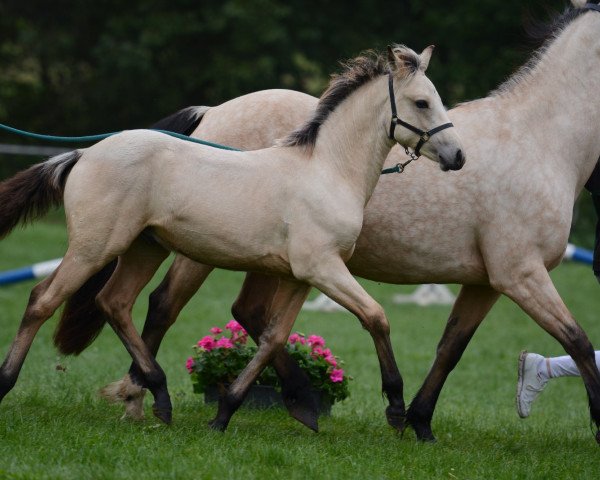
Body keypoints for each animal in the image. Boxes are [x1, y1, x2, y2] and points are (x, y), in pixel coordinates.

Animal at [0, 46, 464, 432]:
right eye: (422, 102)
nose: (457, 156)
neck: (326, 170)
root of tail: (83, 154)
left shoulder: (300, 276)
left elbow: (273, 337)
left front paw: (229, 413)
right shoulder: (324, 269)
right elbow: (376, 317)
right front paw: (397, 408)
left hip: (143, 248)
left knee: (114, 303)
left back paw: (160, 398)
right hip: (95, 247)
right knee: (42, 300)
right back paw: (8, 382)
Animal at [57, 0, 600, 444]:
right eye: (423, 101)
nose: (457, 158)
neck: (539, 139)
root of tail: (210, 114)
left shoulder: (486, 281)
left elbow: (451, 348)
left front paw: (419, 422)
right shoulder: (520, 274)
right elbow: (578, 340)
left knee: (243, 313)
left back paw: (286, 400)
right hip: (202, 250)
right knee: (162, 306)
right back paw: (144, 398)